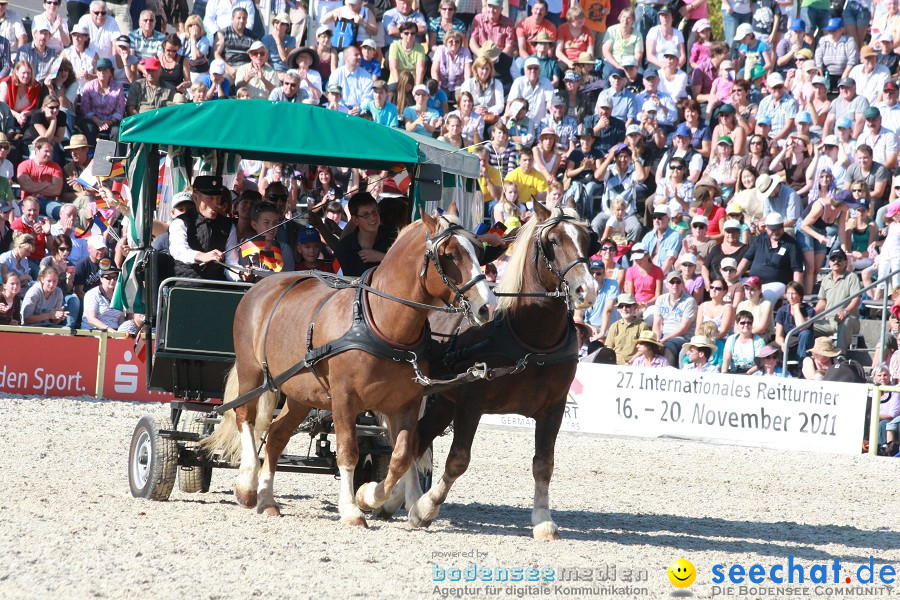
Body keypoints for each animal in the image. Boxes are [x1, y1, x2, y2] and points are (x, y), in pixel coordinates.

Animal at [200, 210, 496, 524]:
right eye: (449, 255)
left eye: (479, 252)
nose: (487, 306)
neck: (380, 323)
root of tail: (261, 285)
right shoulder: (344, 399)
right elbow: (348, 451)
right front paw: (353, 508)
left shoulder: (406, 403)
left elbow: (402, 456)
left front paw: (372, 496)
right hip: (252, 371)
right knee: (245, 416)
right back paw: (247, 486)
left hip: (300, 392)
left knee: (277, 435)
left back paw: (267, 499)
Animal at [380, 200, 596, 540]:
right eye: (553, 241)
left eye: (588, 240)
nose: (587, 290)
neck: (529, 338)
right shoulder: (471, 403)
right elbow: (458, 460)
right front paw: (426, 509)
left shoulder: (554, 407)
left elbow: (543, 464)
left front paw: (543, 519)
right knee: (411, 440)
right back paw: (406, 499)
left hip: (443, 401)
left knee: (417, 440)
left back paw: (396, 499)